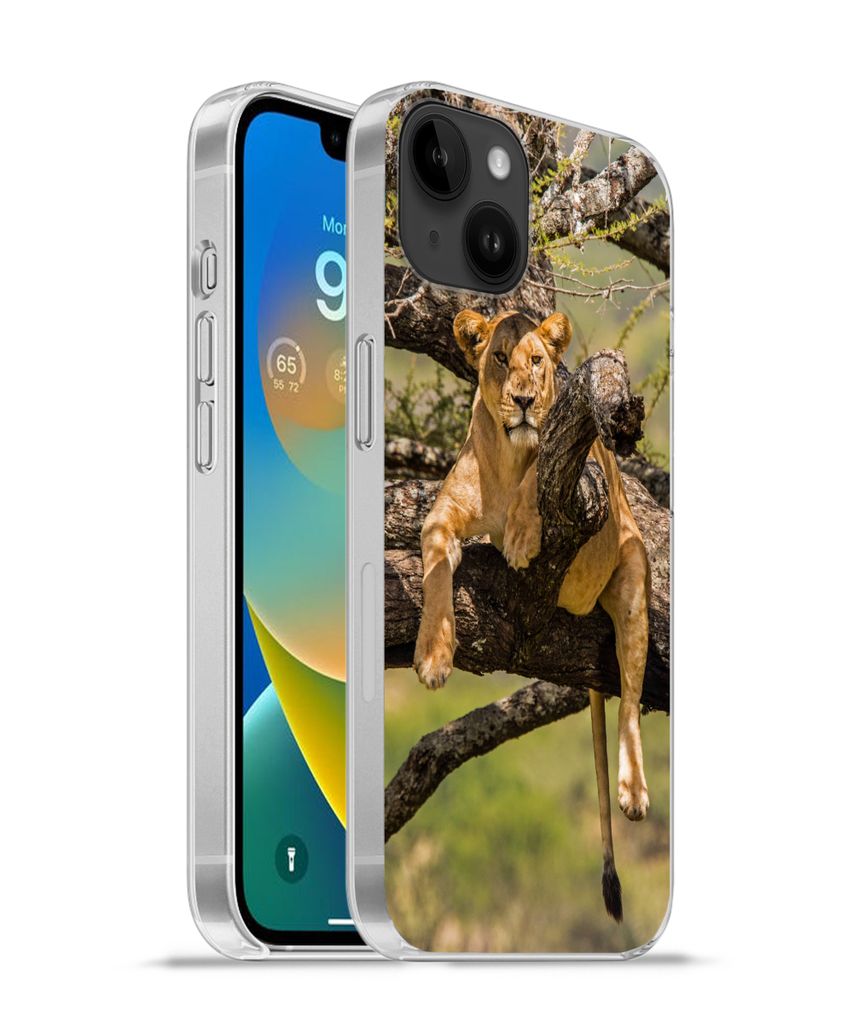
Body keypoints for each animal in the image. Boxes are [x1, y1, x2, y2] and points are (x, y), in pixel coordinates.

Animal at [413, 308, 651, 921]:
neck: (505, 456)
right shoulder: (441, 520)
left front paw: (521, 536)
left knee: (631, 698)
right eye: (499, 358)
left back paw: (634, 791)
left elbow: (540, 468)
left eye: (537, 361)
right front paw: (433, 656)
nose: (521, 400)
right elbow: (435, 576)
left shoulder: (579, 471)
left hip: (633, 575)